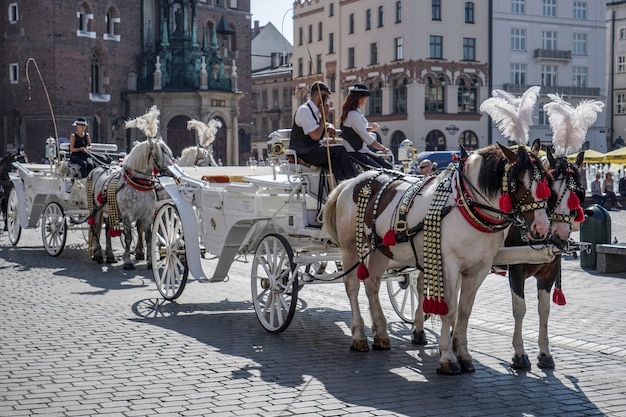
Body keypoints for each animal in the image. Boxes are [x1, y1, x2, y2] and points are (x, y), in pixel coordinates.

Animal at [324, 143, 548, 374]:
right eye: (517, 182)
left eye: (546, 181)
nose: (541, 228)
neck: (466, 205)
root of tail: (353, 180)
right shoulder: (448, 265)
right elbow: (449, 310)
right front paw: (448, 358)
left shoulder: (478, 269)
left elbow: (464, 311)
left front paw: (463, 354)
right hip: (350, 246)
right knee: (352, 286)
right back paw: (359, 336)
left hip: (380, 250)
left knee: (372, 285)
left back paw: (381, 335)